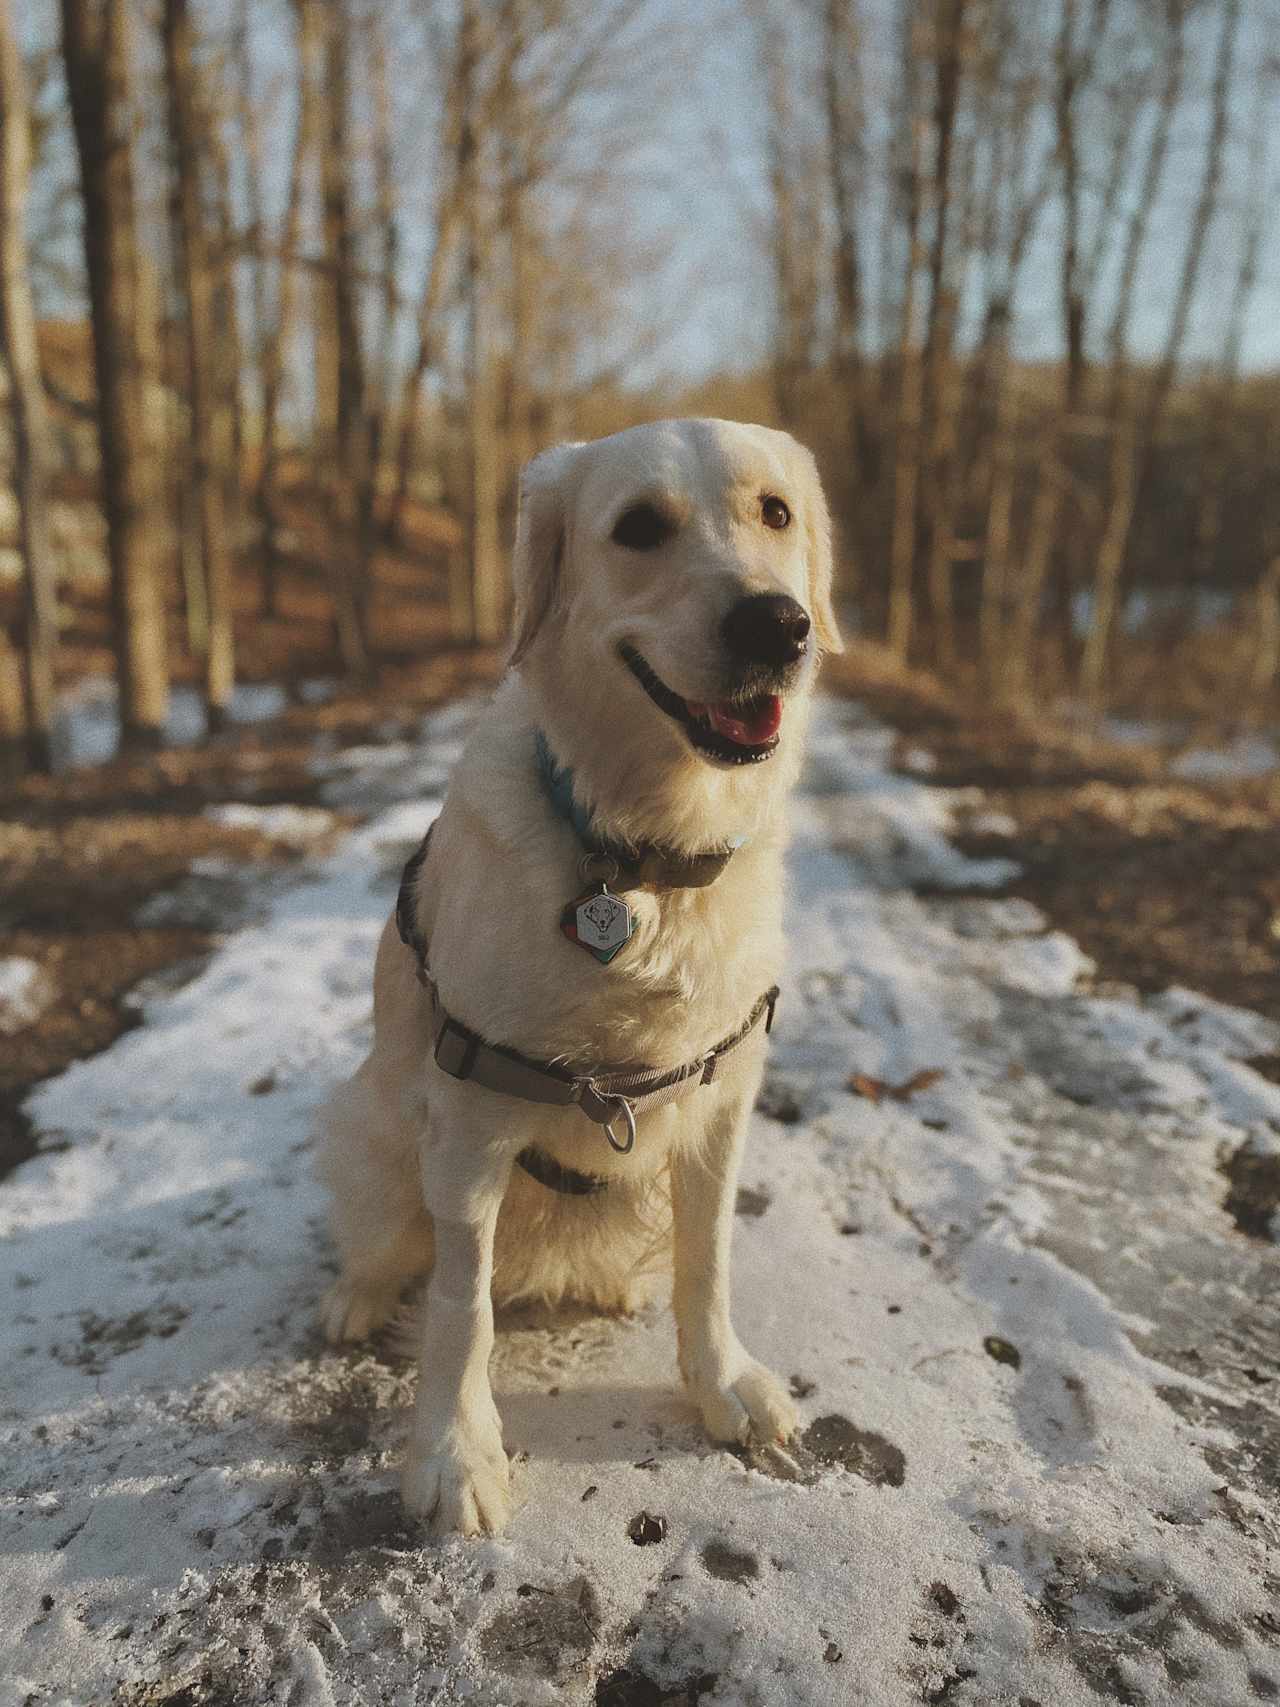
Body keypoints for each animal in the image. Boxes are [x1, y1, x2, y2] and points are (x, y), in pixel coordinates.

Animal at [319, 416, 843, 1536]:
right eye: (637, 527)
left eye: (775, 511)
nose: (778, 626)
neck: (642, 860)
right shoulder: (469, 1119)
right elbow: (460, 1306)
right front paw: (454, 1453)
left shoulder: (724, 1100)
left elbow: (708, 1259)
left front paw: (718, 1379)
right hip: (372, 1133)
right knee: (384, 1244)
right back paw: (356, 1295)